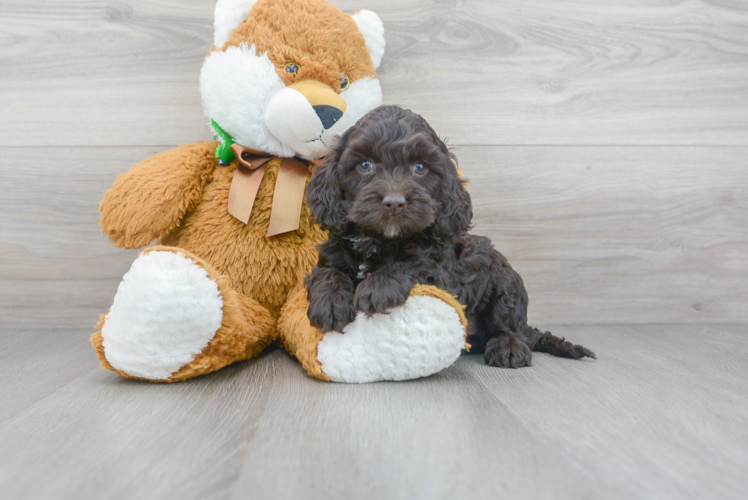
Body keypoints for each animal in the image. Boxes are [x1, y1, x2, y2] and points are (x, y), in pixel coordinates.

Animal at [304, 105, 596, 368]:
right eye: (365, 165)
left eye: (420, 167)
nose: (394, 203)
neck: (381, 240)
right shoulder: (331, 256)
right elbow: (328, 273)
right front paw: (330, 302)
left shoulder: (441, 273)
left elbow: (411, 265)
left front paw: (377, 287)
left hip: (505, 281)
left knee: (512, 327)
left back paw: (508, 347)